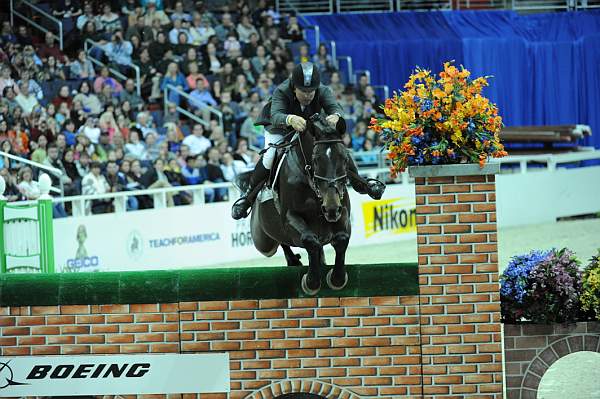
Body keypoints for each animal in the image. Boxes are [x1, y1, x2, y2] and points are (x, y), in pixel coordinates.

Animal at [240, 114, 352, 296]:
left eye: (345, 158)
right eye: (316, 159)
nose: (331, 209)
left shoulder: (343, 214)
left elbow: (341, 239)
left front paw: (336, 279)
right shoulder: (290, 218)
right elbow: (309, 240)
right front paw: (311, 282)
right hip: (263, 242)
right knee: (279, 243)